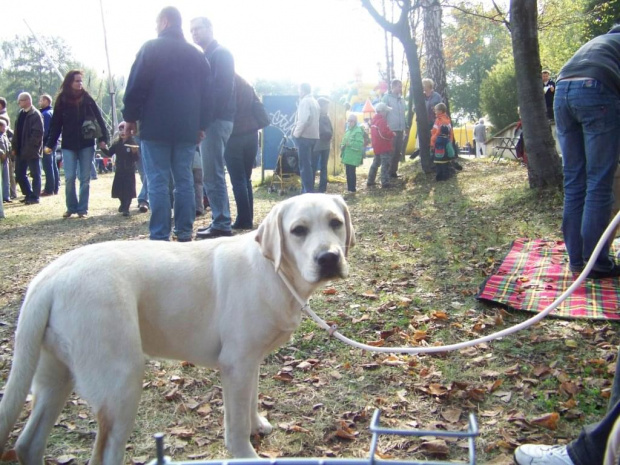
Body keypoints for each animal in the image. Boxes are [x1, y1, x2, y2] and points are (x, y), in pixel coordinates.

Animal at [0, 193, 354, 464]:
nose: (329, 258)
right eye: (298, 230)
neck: (275, 270)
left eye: (335, 223)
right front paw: (246, 453)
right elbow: (236, 424)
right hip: (121, 383)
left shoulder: (248, 362)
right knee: (103, 455)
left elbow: (252, 401)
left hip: (55, 379)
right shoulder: (236, 364)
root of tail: (46, 280)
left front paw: (257, 425)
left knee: (27, 443)